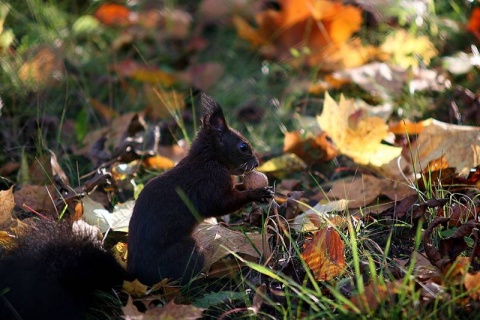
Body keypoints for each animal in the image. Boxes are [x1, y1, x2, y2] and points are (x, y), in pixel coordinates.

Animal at [127, 92, 274, 284]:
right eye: (243, 147)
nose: (256, 163)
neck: (209, 159)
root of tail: (135, 275)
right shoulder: (209, 185)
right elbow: (222, 205)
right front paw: (256, 193)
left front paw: (245, 186)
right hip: (187, 253)